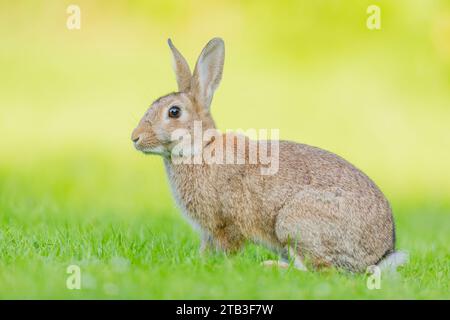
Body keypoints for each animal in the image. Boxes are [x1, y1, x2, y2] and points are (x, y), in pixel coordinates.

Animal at [131, 37, 408, 272]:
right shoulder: (208, 232)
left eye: (174, 112)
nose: (135, 137)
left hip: (293, 223)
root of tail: (380, 254)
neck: (201, 147)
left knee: (318, 270)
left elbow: (229, 247)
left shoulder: (227, 223)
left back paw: (271, 266)